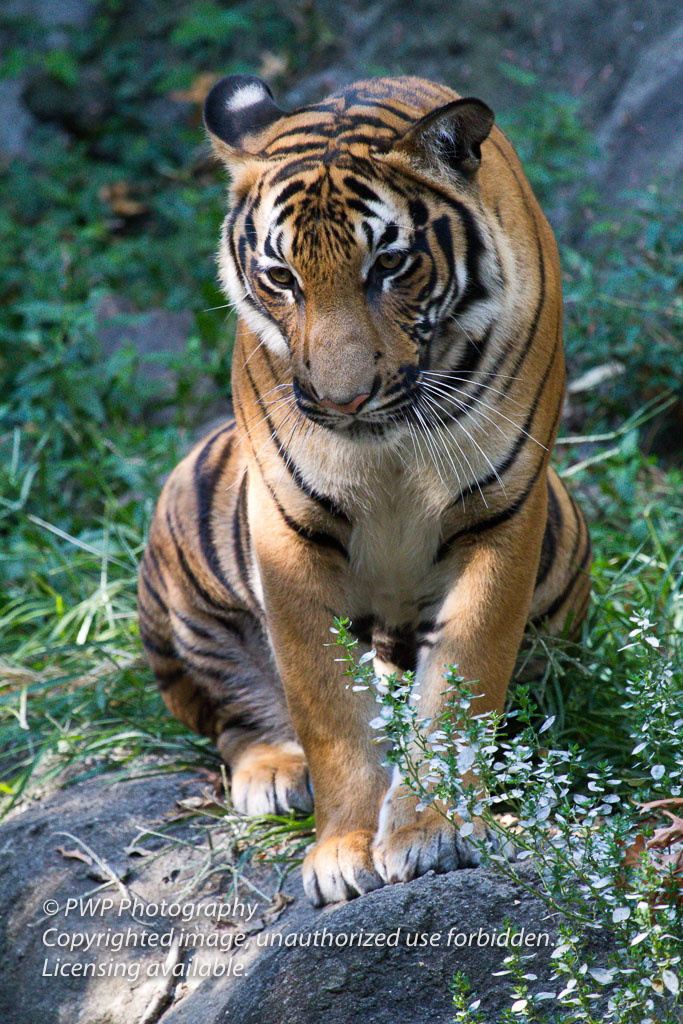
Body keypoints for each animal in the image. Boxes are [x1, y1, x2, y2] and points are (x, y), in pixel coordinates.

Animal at [136, 74, 589, 905]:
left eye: (390, 265)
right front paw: (344, 849)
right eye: (281, 277)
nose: (342, 400)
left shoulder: (503, 514)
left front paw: (432, 830)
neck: (391, 436)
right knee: (227, 709)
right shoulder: (287, 534)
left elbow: (463, 686)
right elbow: (328, 710)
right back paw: (274, 774)